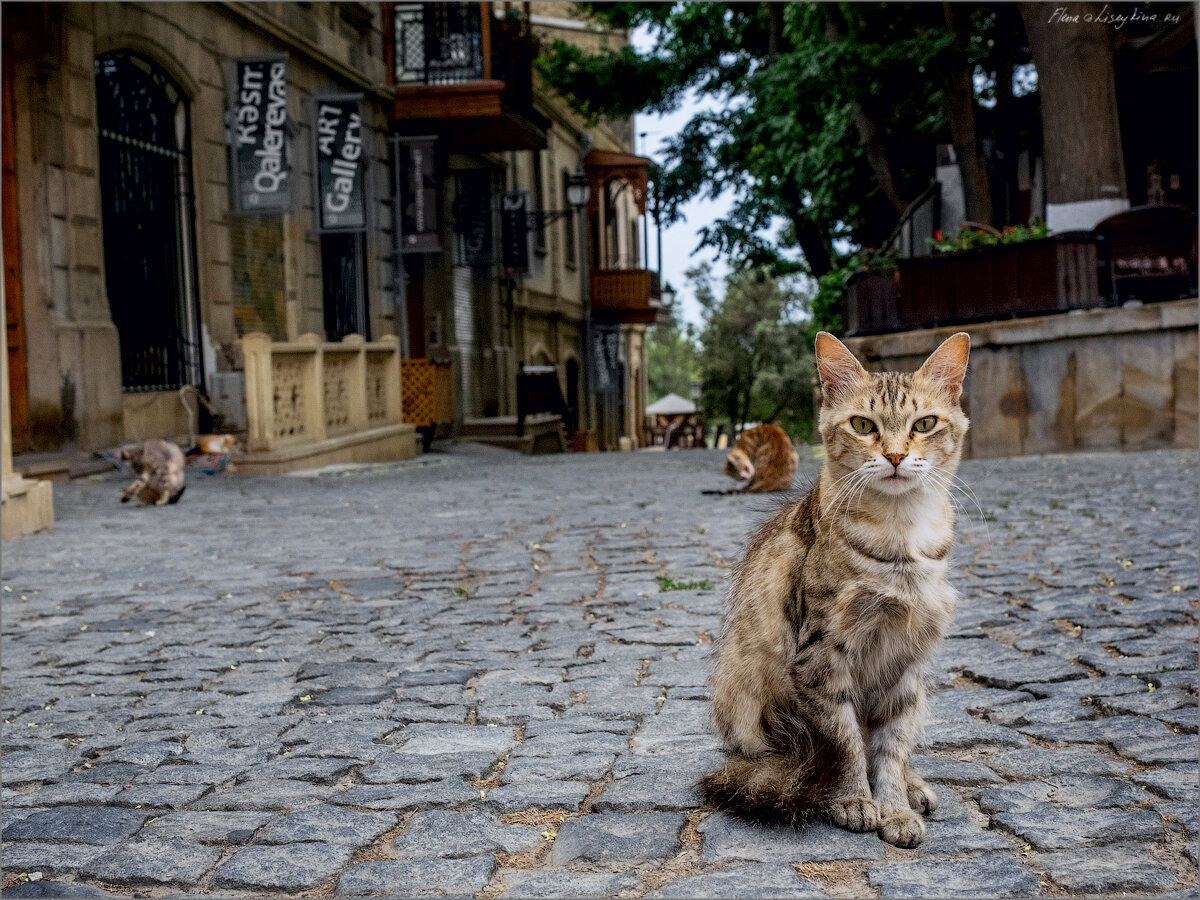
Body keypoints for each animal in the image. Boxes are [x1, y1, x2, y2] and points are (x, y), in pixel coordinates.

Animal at [700, 328, 969, 849]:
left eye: (924, 423)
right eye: (863, 425)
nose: (895, 456)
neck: (899, 538)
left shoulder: (905, 662)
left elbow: (890, 749)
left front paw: (894, 806)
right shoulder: (822, 657)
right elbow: (846, 744)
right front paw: (853, 799)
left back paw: (914, 786)